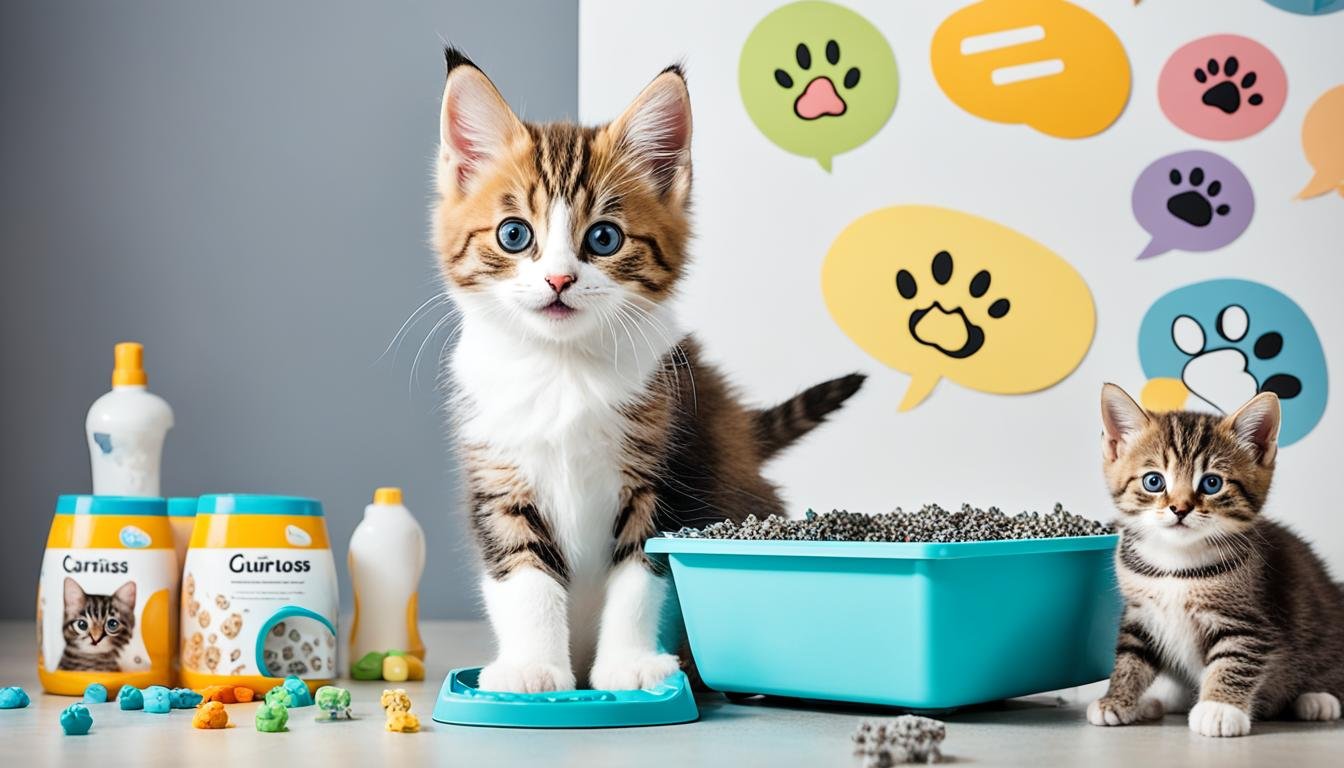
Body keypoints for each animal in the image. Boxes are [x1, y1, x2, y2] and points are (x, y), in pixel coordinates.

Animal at [432, 49, 870, 699]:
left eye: (603, 238)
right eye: (514, 234)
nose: (558, 280)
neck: (563, 368)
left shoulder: (672, 466)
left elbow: (646, 569)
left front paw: (629, 666)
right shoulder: (495, 472)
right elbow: (523, 572)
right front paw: (532, 669)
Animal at [1091, 384, 1344, 737]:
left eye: (1212, 483)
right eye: (1154, 481)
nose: (1180, 508)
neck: (1174, 564)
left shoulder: (1247, 621)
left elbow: (1234, 658)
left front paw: (1220, 708)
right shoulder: (1141, 614)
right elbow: (1131, 656)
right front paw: (1117, 700)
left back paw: (1318, 699)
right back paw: (1157, 701)